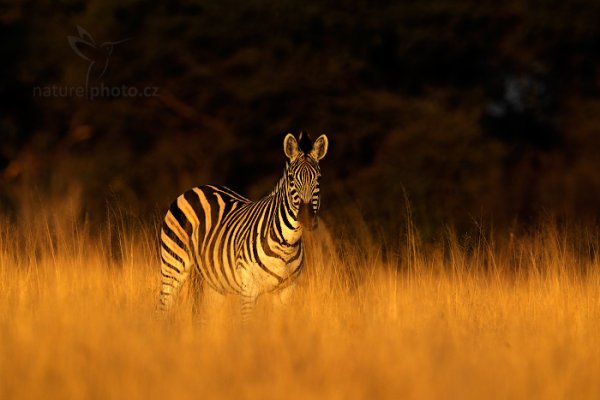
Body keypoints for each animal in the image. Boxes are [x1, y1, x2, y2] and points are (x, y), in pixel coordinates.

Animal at [159, 132, 328, 322]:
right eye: (291, 178)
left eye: (319, 179)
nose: (307, 219)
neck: (287, 243)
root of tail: (193, 189)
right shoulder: (249, 288)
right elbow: (247, 325)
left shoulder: (287, 291)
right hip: (172, 265)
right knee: (164, 306)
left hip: (214, 284)